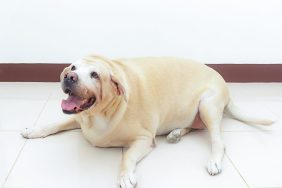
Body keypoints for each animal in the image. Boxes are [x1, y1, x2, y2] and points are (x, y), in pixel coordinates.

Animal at [21, 55, 276, 187]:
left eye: (94, 75)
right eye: (73, 67)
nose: (69, 76)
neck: (99, 114)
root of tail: (225, 84)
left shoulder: (143, 139)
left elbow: (127, 158)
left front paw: (125, 175)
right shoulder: (79, 118)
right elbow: (55, 124)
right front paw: (34, 129)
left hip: (207, 105)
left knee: (217, 140)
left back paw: (213, 159)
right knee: (195, 126)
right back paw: (176, 133)